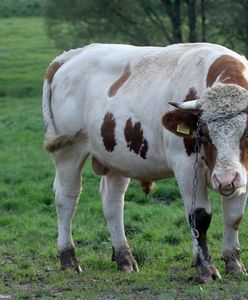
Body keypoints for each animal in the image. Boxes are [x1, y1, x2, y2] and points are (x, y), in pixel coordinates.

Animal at [42, 43, 248, 282]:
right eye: (204, 134)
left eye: (246, 132)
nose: (225, 179)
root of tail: (70, 55)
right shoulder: (186, 166)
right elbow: (199, 217)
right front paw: (206, 269)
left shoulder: (243, 172)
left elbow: (234, 216)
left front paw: (234, 263)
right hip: (68, 152)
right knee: (67, 198)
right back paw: (69, 258)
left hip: (117, 156)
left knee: (113, 202)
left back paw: (124, 258)